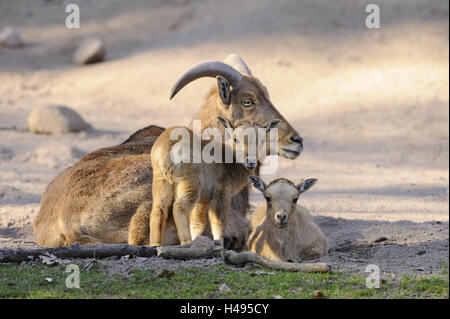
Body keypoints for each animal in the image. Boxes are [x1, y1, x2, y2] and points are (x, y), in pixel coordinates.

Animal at [149, 117, 280, 248]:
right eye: (236, 139)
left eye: (262, 140)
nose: (251, 162)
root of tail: (168, 145)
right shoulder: (221, 194)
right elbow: (219, 221)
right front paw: (219, 243)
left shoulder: (203, 199)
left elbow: (198, 222)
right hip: (190, 182)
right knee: (179, 207)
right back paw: (187, 243)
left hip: (161, 180)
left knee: (158, 210)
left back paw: (155, 244)